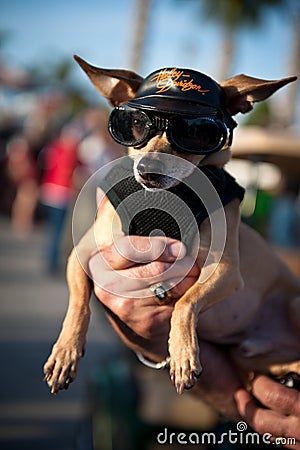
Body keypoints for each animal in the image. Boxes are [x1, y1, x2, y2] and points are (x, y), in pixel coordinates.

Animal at [43, 55, 298, 394]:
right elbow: (79, 302)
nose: (148, 170)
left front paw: (183, 353)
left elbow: (185, 304)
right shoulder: (80, 256)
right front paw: (65, 351)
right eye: (136, 124)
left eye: (196, 133)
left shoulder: (226, 271)